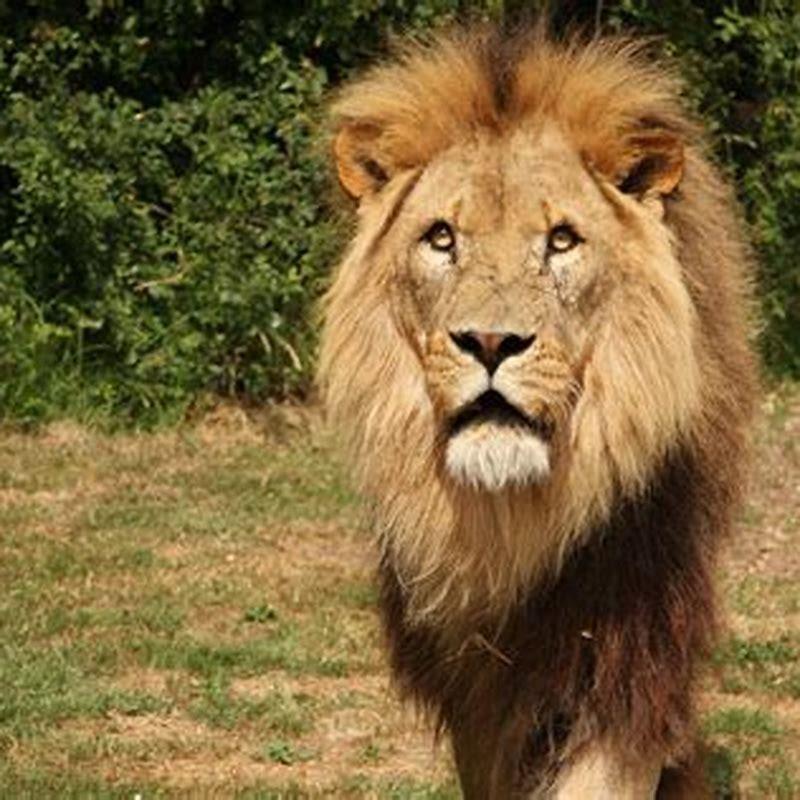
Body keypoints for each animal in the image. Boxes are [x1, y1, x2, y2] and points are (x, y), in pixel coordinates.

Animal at [318, 25, 756, 799]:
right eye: (441, 237)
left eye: (561, 240)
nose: (491, 342)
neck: (512, 523)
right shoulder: (476, 700)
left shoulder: (626, 666)